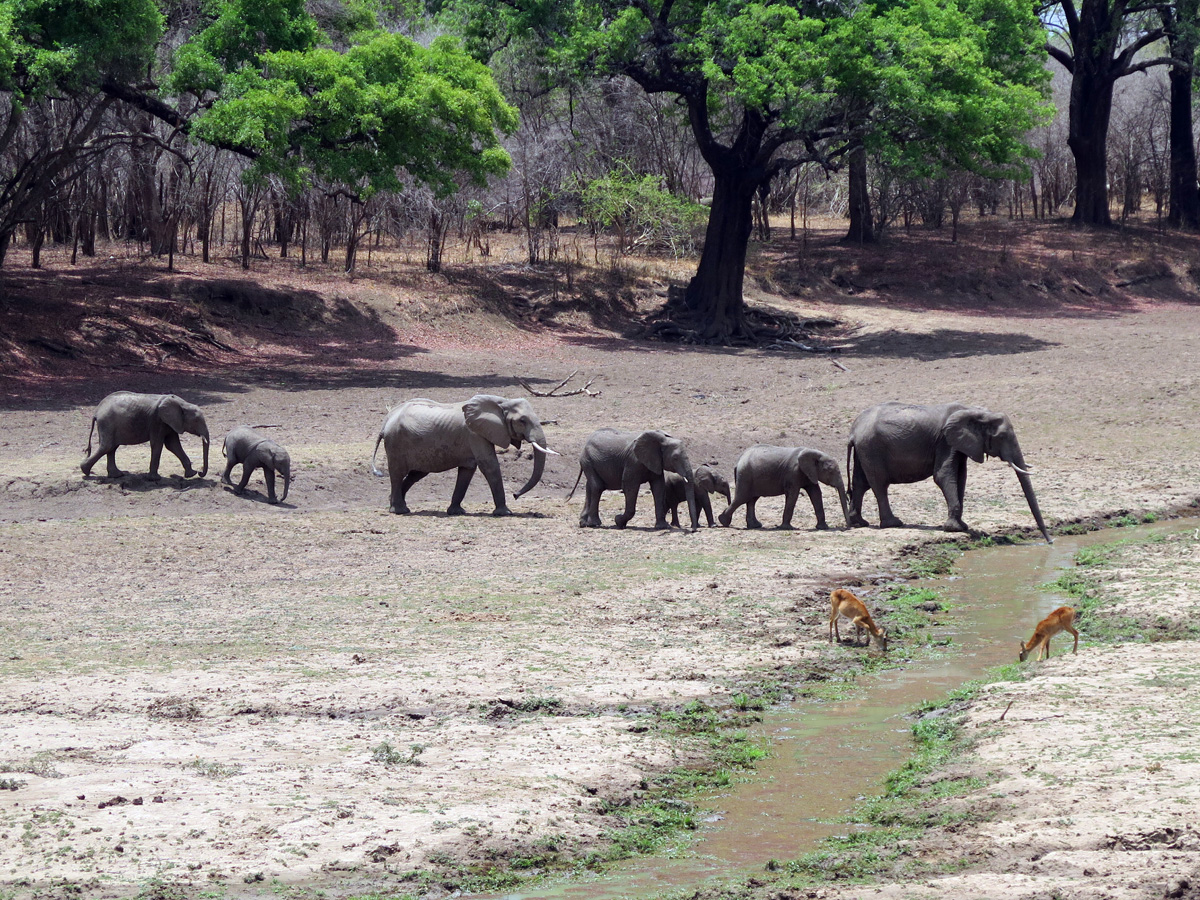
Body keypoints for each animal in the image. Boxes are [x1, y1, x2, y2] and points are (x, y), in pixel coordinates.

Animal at [81, 391, 209, 479]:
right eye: (196, 421)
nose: (200, 472)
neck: (183, 404)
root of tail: (97, 411)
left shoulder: (170, 423)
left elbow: (173, 445)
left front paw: (191, 475)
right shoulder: (158, 420)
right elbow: (158, 444)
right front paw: (155, 479)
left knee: (111, 447)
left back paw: (117, 475)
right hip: (107, 423)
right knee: (107, 446)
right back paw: (85, 471)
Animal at [369, 394, 555, 516]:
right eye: (522, 421)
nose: (516, 495)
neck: (502, 402)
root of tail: (386, 420)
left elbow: (467, 470)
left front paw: (457, 512)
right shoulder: (475, 434)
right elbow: (489, 465)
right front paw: (505, 513)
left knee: (416, 474)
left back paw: (394, 503)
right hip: (395, 443)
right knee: (397, 473)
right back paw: (400, 510)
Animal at [568, 428, 699, 530]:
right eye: (675, 458)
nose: (693, 529)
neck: (663, 439)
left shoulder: (655, 461)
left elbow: (658, 487)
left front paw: (663, 527)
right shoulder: (633, 462)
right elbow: (630, 486)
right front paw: (618, 521)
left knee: (590, 486)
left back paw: (584, 523)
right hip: (587, 460)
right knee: (597, 487)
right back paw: (594, 524)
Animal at [717, 444, 850, 530]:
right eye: (830, 471)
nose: (848, 527)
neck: (813, 452)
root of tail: (739, 460)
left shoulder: (810, 474)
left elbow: (816, 494)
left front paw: (823, 527)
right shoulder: (793, 473)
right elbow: (793, 494)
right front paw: (787, 528)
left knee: (752, 500)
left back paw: (754, 526)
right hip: (745, 475)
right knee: (742, 498)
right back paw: (724, 521)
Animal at [846, 401, 1052, 543]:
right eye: (1001, 437)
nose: (1050, 542)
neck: (974, 411)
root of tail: (854, 430)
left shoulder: (959, 444)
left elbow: (960, 477)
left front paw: (961, 526)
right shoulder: (946, 441)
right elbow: (944, 475)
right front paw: (955, 529)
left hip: (864, 449)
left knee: (860, 483)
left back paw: (859, 522)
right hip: (872, 448)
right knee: (879, 484)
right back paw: (894, 523)